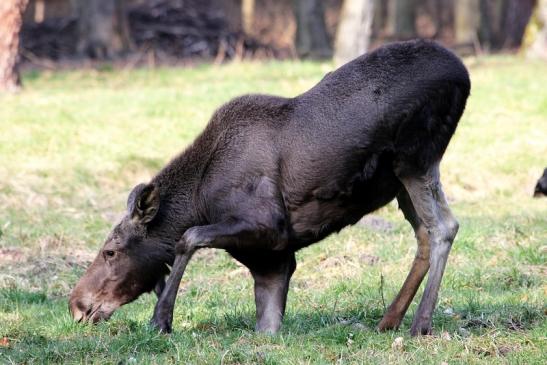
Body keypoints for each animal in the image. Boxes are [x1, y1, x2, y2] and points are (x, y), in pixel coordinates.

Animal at [69, 39, 470, 336]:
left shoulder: (268, 226)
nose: (76, 304)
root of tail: (464, 74)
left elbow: (188, 237)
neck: (200, 196)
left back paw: (420, 324)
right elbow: (267, 321)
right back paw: (389, 319)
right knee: (423, 233)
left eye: (110, 251)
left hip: (415, 157)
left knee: (444, 227)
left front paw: (161, 318)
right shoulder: (275, 260)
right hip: (400, 180)